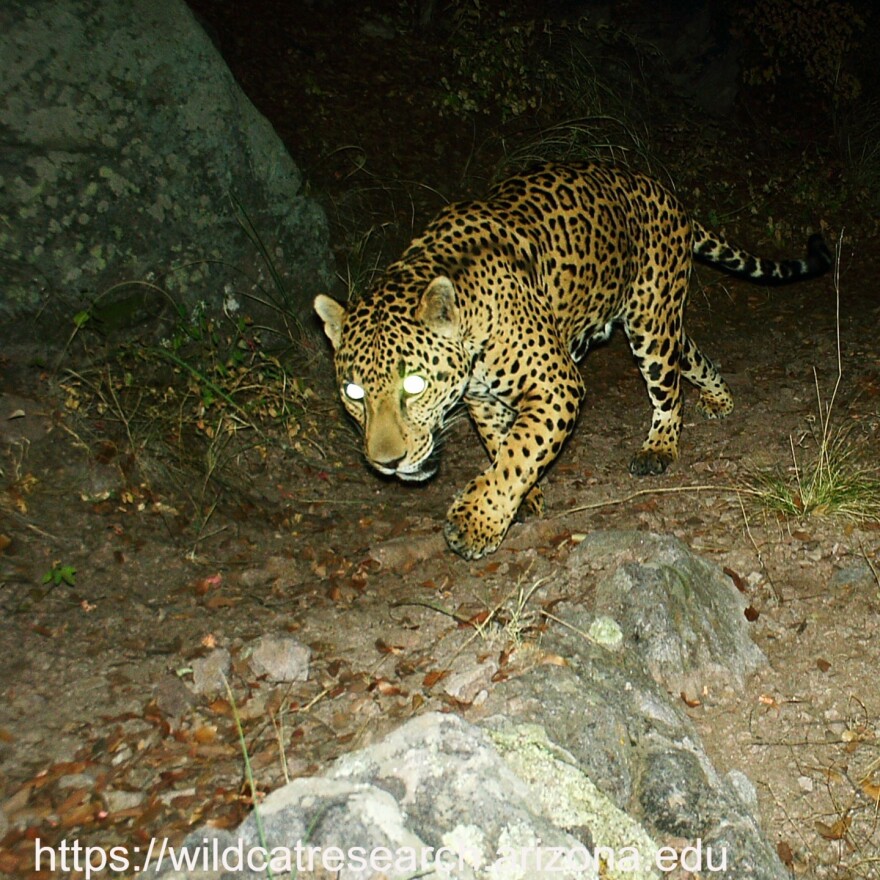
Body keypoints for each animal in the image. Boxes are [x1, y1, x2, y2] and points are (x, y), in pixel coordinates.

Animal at [315, 162, 831, 560]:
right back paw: (720, 399)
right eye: (353, 393)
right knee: (692, 354)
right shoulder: (482, 400)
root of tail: (663, 192)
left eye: (415, 385)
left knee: (667, 390)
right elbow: (503, 444)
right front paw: (519, 499)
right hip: (661, 320)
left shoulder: (555, 384)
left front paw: (475, 523)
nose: (387, 463)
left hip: (650, 323)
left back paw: (659, 448)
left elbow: (519, 451)